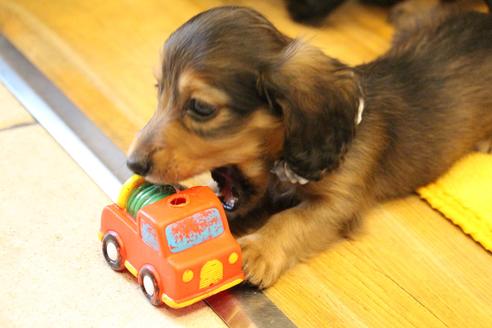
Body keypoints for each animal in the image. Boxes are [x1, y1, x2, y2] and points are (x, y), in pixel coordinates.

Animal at [128, 4, 492, 288]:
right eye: (159, 88)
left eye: (201, 107)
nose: (133, 164)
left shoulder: (340, 202)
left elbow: (290, 220)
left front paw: (258, 249)